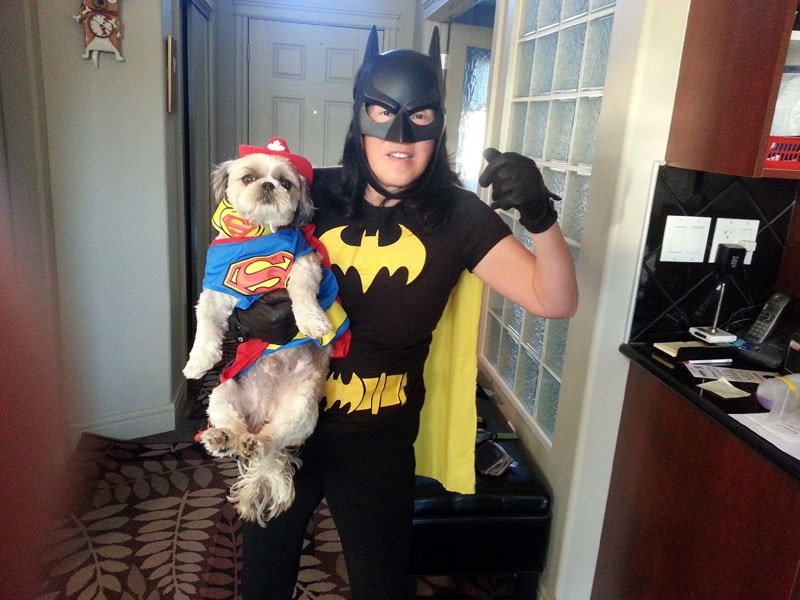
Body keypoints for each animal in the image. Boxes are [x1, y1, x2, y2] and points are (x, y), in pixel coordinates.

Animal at [189, 137, 352, 524]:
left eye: (286, 183)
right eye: (248, 177)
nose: (267, 185)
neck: (257, 235)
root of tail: (261, 415)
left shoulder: (305, 262)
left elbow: (301, 293)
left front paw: (312, 322)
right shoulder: (216, 287)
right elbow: (206, 322)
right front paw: (197, 361)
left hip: (300, 411)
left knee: (271, 439)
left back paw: (255, 442)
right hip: (224, 395)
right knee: (235, 430)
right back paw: (222, 439)